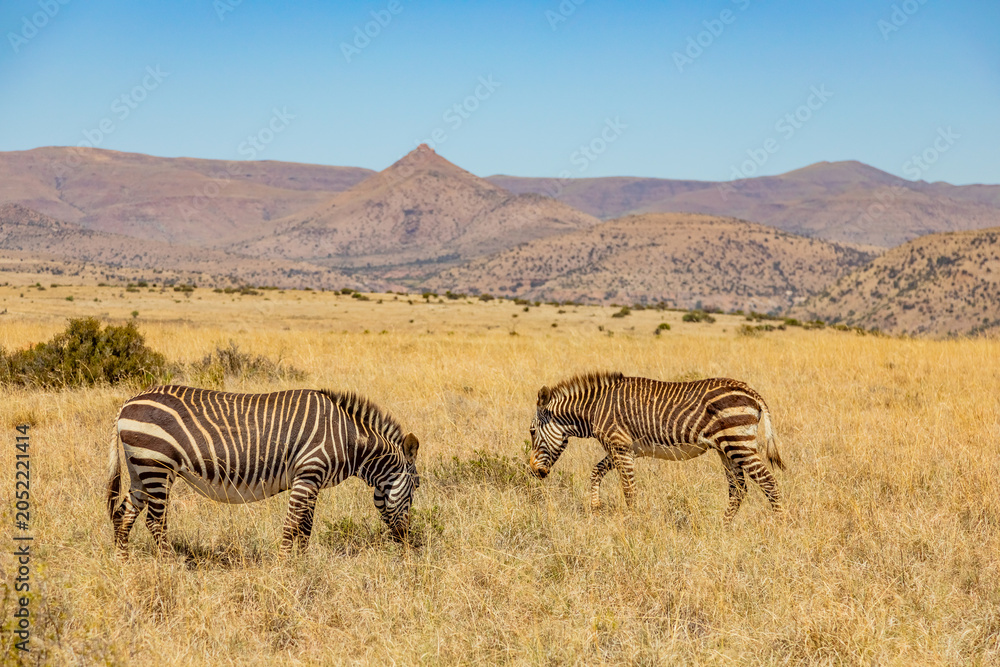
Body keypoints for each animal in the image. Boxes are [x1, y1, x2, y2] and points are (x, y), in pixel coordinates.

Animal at [106, 385, 420, 557]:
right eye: (417, 488)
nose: (406, 540)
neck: (349, 439)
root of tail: (126, 403)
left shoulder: (312, 481)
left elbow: (305, 527)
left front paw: (302, 564)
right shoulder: (309, 474)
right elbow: (292, 524)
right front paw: (283, 568)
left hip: (140, 469)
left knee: (123, 513)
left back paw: (124, 563)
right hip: (156, 465)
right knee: (155, 521)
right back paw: (169, 564)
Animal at [528, 372, 785, 523]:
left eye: (531, 431)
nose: (534, 472)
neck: (595, 408)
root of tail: (750, 391)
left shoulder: (620, 446)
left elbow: (629, 490)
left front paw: (632, 523)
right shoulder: (623, 449)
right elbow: (596, 472)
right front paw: (596, 510)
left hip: (738, 444)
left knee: (769, 483)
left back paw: (780, 527)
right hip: (727, 450)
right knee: (738, 490)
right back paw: (723, 527)